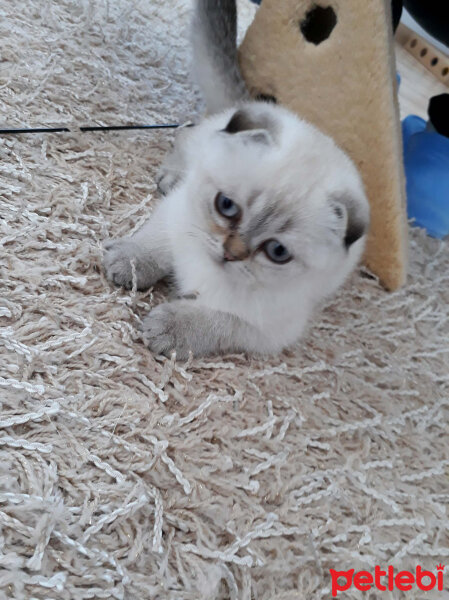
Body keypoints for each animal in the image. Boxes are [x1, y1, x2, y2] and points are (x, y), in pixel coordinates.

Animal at [103, 0, 370, 356]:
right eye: (226, 206)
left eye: (278, 252)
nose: (230, 253)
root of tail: (251, 103)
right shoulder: (178, 213)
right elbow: (155, 244)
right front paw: (128, 263)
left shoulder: (264, 330)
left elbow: (214, 321)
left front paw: (167, 328)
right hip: (204, 141)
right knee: (184, 136)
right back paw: (171, 175)